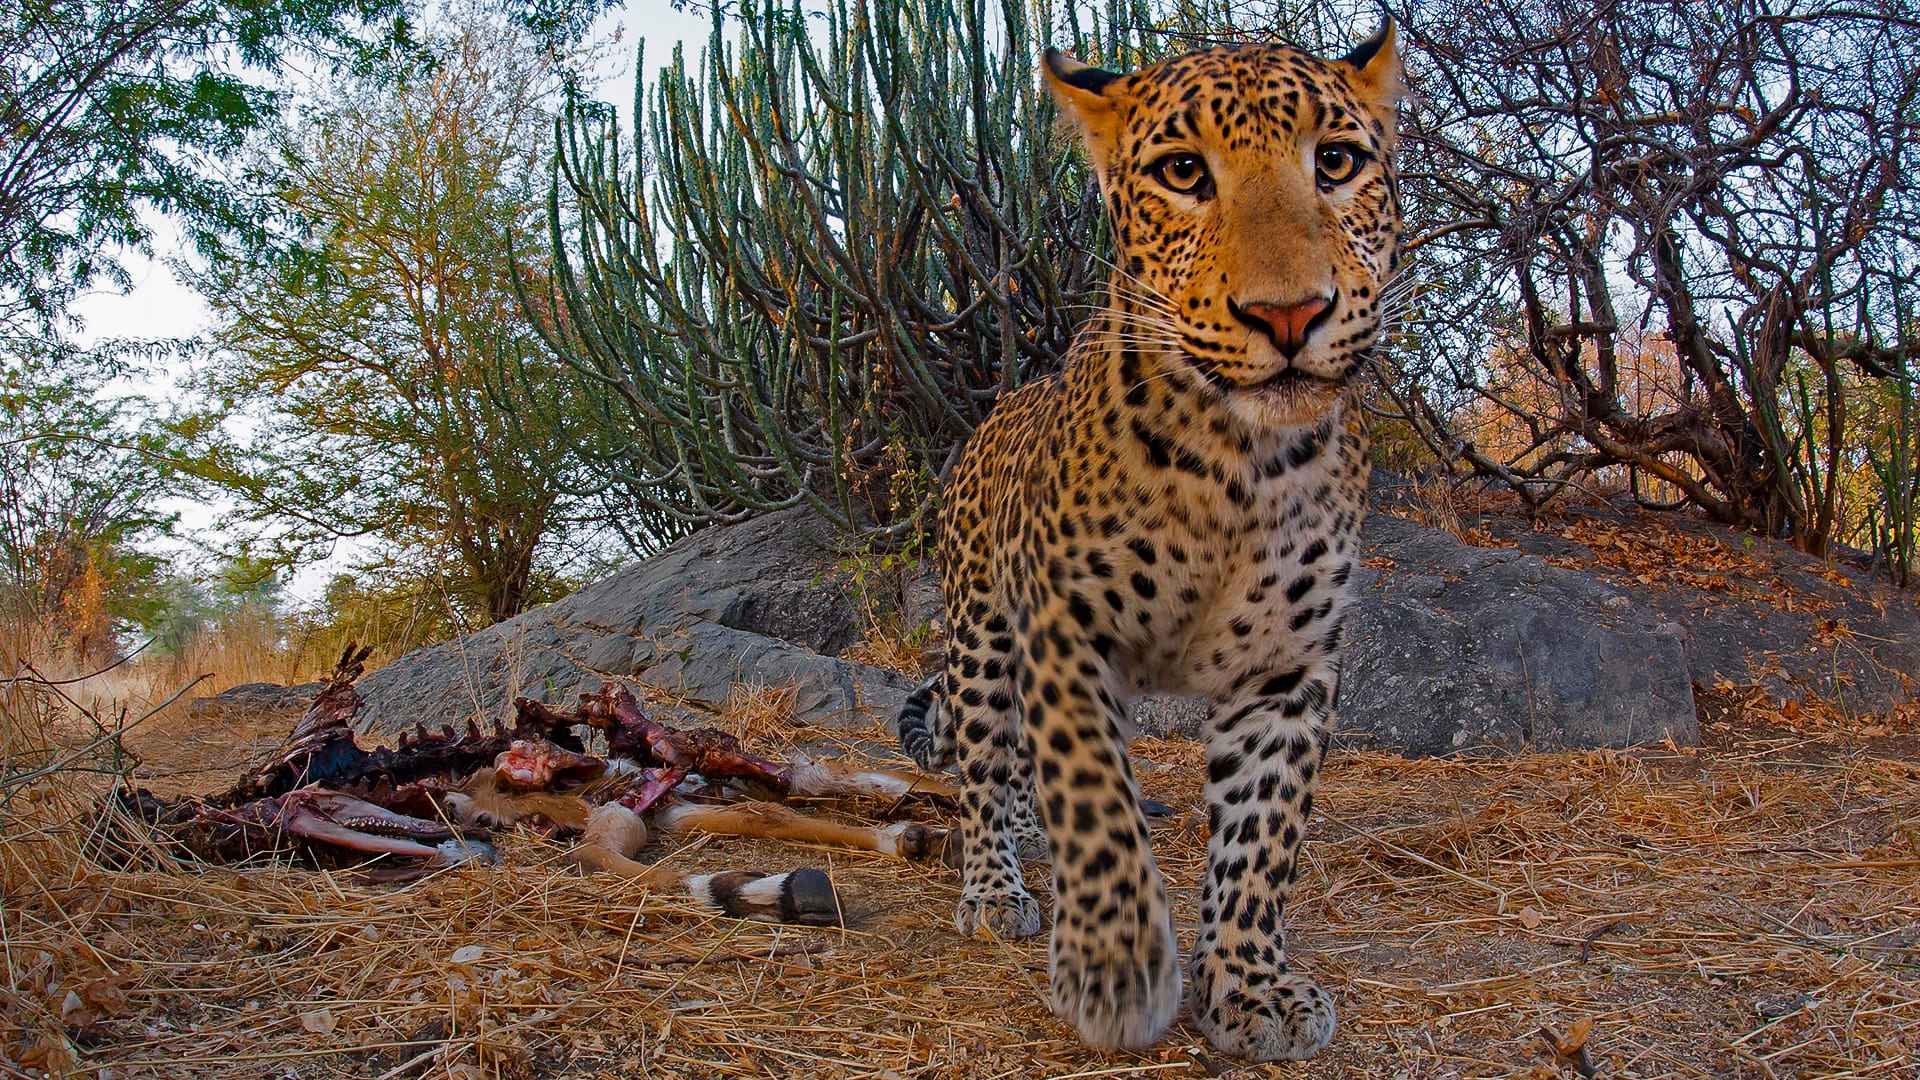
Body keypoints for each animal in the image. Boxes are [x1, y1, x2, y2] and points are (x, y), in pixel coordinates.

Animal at [893, 21, 1405, 1062]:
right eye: (1183, 172)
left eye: (1335, 162)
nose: (1290, 314)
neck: (1239, 465)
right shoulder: (1063, 629)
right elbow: (1097, 797)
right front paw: (1116, 966)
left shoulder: (1287, 668)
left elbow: (1261, 838)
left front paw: (1253, 987)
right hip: (981, 640)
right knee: (984, 765)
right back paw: (995, 884)